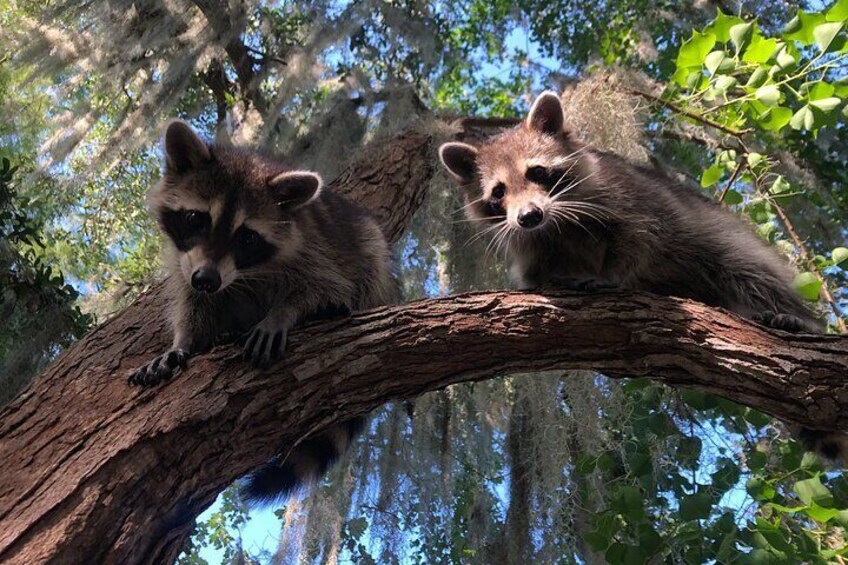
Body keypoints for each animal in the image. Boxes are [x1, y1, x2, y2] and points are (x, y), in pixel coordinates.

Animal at [130, 120, 400, 502]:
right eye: (196, 218)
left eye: (247, 237)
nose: (207, 280)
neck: (245, 273)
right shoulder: (187, 264)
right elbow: (192, 303)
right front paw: (183, 342)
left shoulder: (318, 249)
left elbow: (324, 286)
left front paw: (284, 312)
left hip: (370, 253)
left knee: (369, 257)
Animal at [440, 90, 844, 462]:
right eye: (498, 192)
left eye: (536, 172)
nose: (528, 216)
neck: (556, 221)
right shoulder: (532, 244)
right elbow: (534, 272)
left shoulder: (625, 194)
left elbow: (642, 237)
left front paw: (612, 275)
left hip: (726, 241)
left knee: (751, 272)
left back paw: (798, 318)